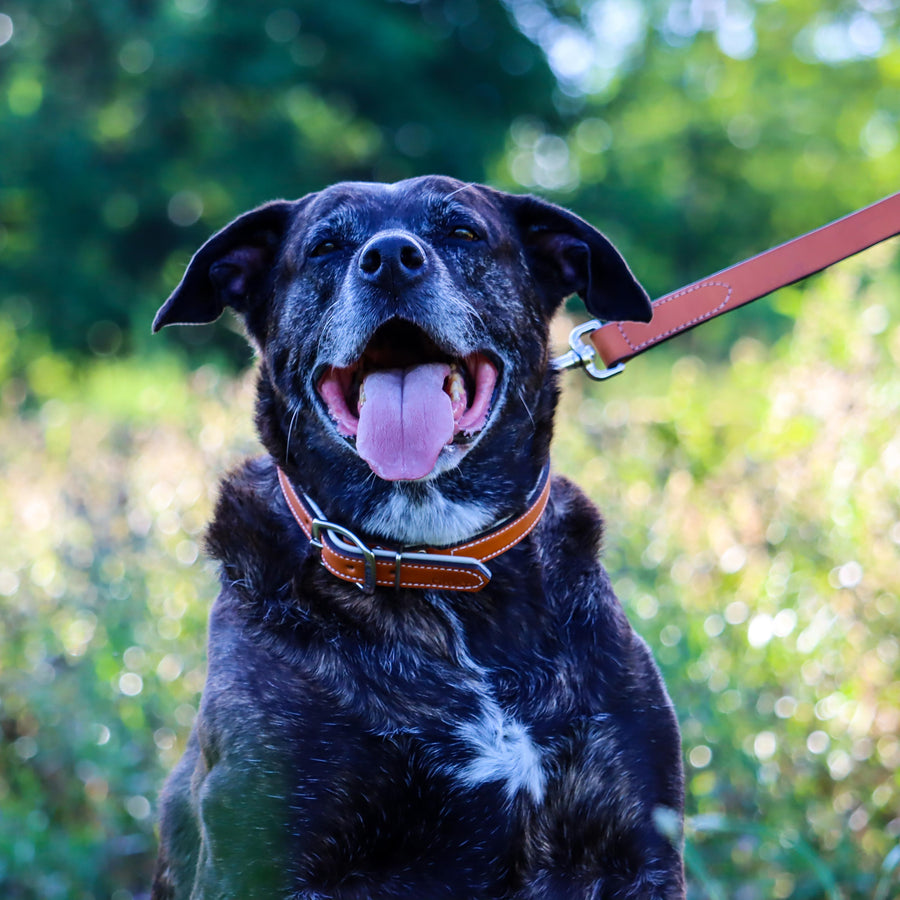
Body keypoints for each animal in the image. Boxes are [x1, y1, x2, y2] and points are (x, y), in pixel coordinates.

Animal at [149, 176, 684, 900]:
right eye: (326, 246)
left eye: (462, 232)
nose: (391, 260)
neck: (432, 561)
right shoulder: (259, 857)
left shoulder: (637, 857)